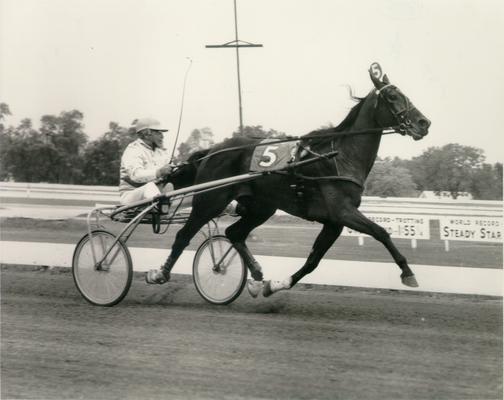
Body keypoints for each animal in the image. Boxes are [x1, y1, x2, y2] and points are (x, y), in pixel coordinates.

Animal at [148, 65, 432, 296]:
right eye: (393, 96)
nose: (424, 122)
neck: (339, 155)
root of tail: (212, 151)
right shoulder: (343, 212)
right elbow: (381, 232)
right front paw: (408, 273)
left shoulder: (334, 221)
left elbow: (313, 260)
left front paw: (275, 285)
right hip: (210, 200)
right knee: (184, 235)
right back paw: (161, 272)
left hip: (262, 206)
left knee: (234, 233)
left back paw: (256, 275)